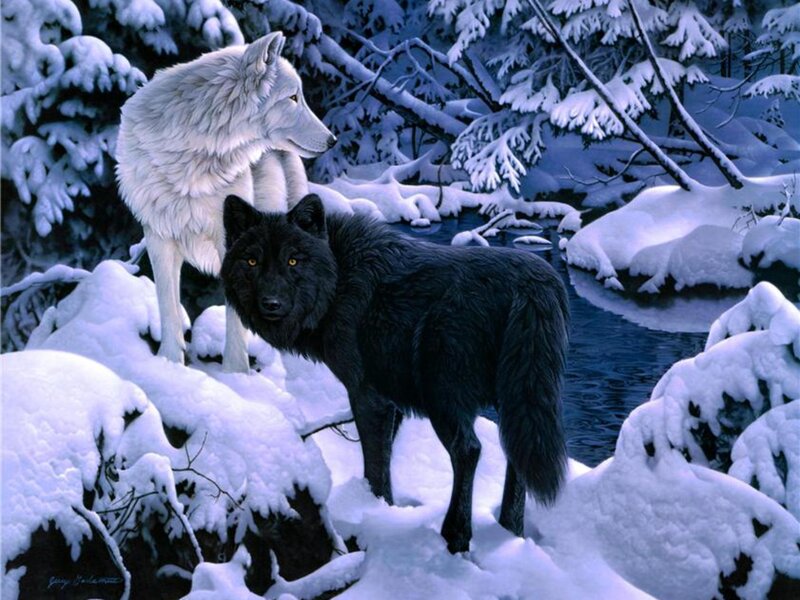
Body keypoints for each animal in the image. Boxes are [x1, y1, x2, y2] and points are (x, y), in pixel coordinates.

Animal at [116, 32, 335, 371]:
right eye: (293, 97)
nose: (332, 140)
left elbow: (236, 319)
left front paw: (235, 373)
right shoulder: (158, 236)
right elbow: (168, 306)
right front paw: (168, 365)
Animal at [221, 194, 570, 553]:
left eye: (293, 261)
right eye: (251, 261)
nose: (271, 303)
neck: (339, 278)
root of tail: (533, 283)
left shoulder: (366, 394)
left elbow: (375, 466)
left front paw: (373, 514)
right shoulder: (392, 401)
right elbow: (385, 458)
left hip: (442, 397)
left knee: (469, 450)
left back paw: (456, 536)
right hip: (516, 399)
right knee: (516, 455)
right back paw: (511, 533)